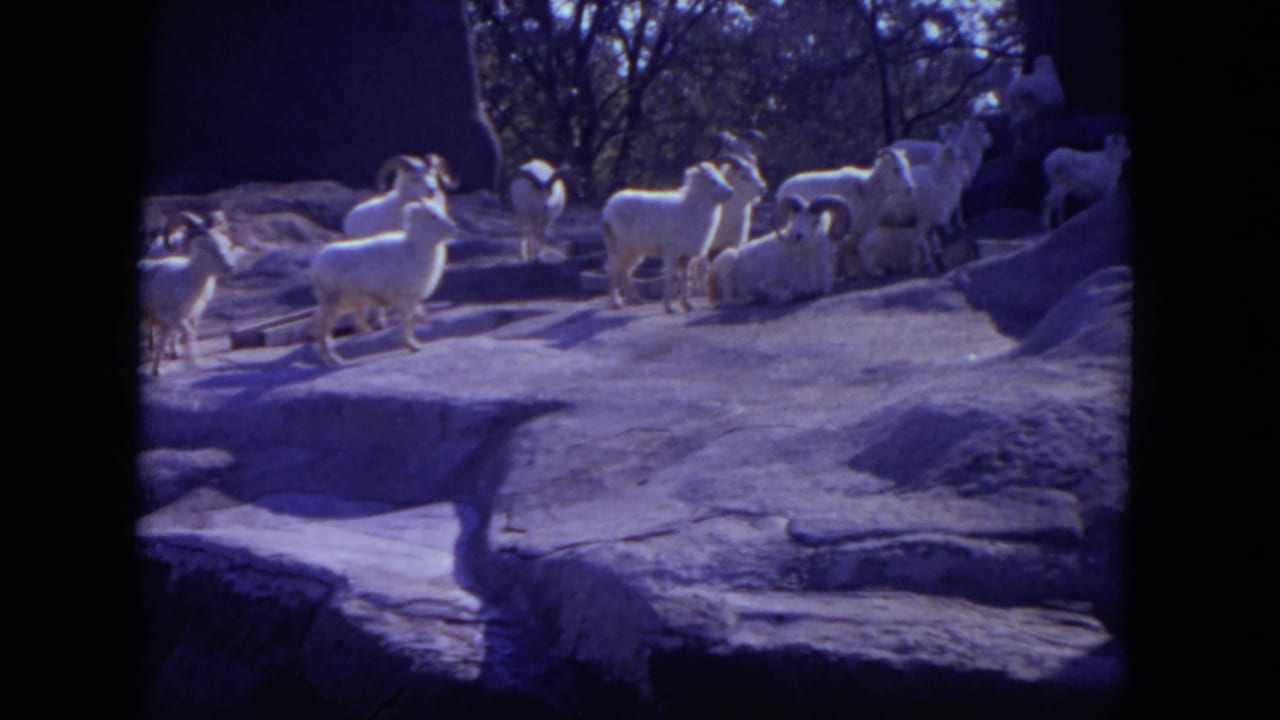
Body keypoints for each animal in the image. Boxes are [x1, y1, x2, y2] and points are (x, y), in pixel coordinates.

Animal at [139, 212, 238, 377]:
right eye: (208, 248)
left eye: (226, 245)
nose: (230, 267)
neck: (186, 276)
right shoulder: (173, 318)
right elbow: (187, 335)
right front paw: (193, 364)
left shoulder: (186, 319)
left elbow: (168, 340)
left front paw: (157, 370)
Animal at [311, 200, 458, 365]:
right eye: (433, 215)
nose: (454, 228)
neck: (413, 249)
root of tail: (317, 262)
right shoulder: (403, 298)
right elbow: (409, 319)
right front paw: (412, 346)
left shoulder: (410, 298)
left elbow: (415, 317)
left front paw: (413, 344)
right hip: (333, 302)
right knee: (322, 327)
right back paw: (334, 358)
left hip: (339, 303)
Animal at [601, 162, 736, 313]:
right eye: (712, 181)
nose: (731, 192)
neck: (691, 208)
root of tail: (608, 207)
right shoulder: (672, 252)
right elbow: (672, 277)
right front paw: (668, 307)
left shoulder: (685, 255)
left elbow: (685, 278)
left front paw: (687, 305)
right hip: (620, 246)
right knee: (613, 270)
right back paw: (616, 303)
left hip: (633, 250)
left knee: (624, 271)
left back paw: (636, 299)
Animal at [707, 195, 851, 307]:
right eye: (794, 219)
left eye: (815, 221)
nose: (797, 236)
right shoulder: (767, 285)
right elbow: (787, 295)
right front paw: (763, 298)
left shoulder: (823, 288)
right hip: (727, 264)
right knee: (726, 301)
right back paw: (748, 298)